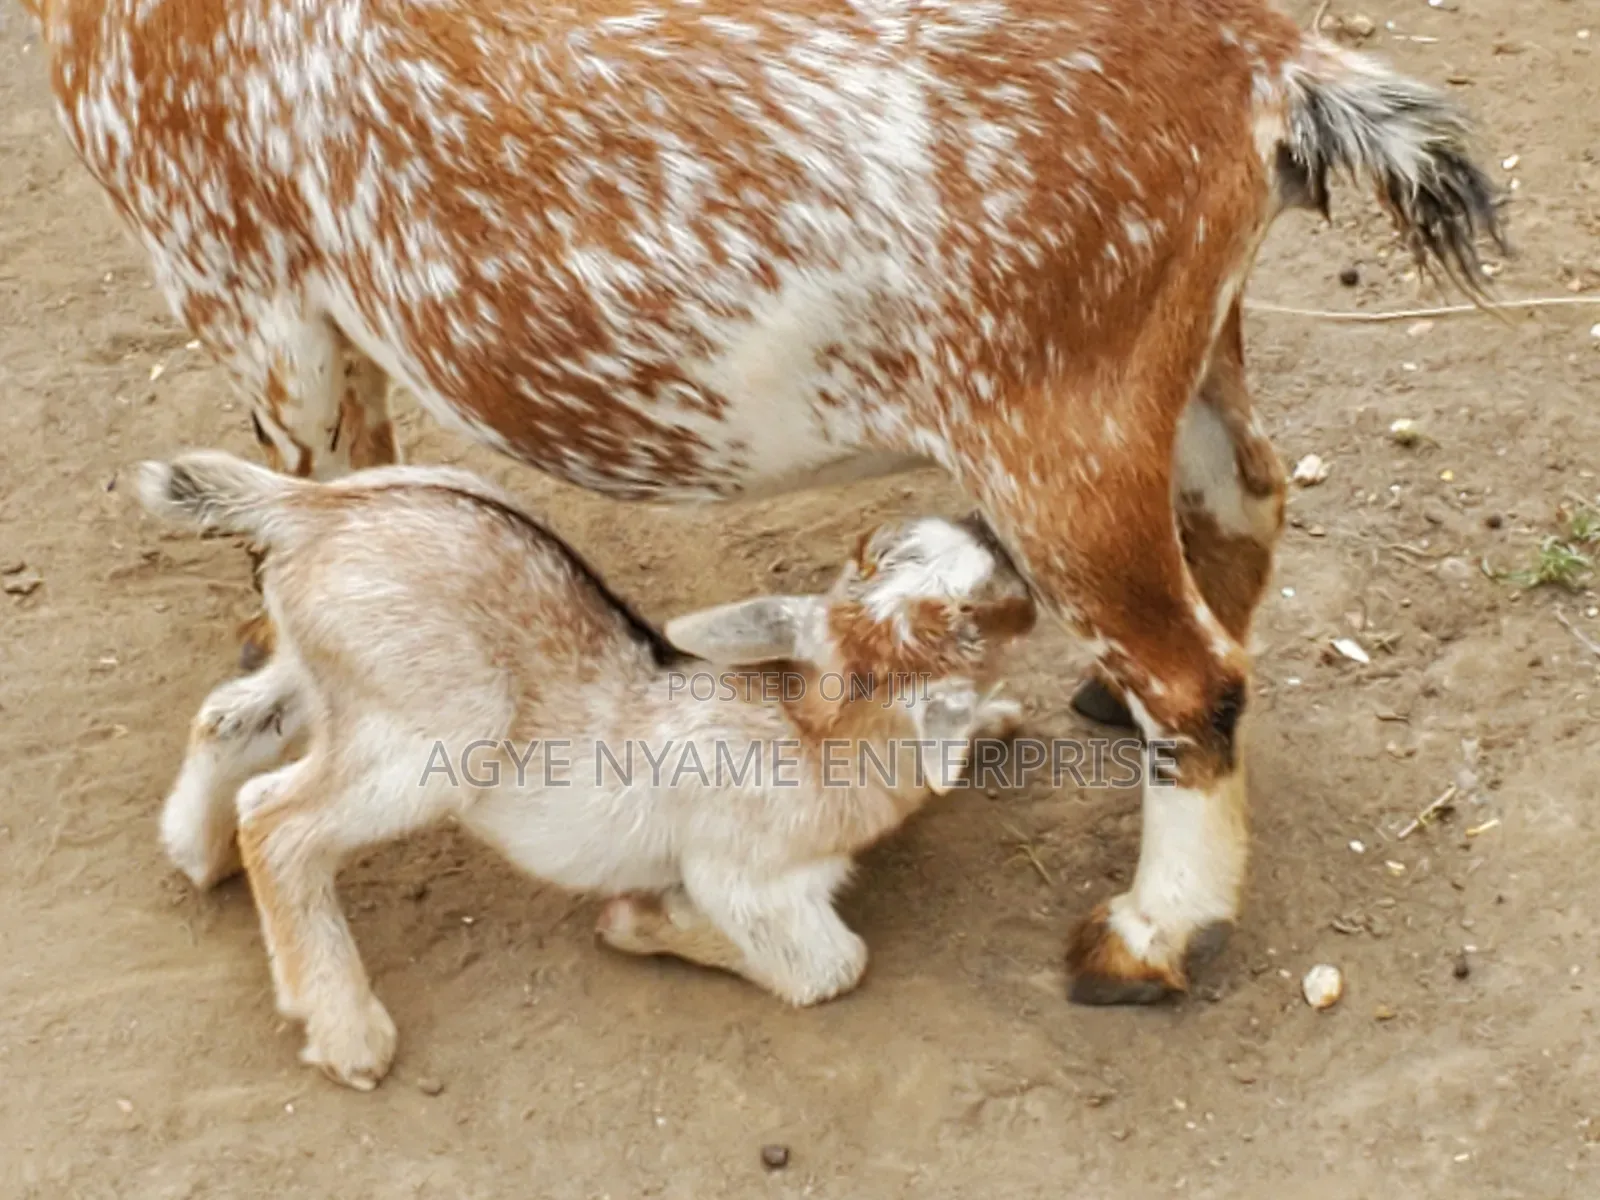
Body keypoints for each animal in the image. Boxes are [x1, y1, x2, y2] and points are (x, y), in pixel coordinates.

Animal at [28, 0, 1505, 1003]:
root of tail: (1267, 63)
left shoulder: (255, 299)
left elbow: (311, 507)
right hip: (1177, 359)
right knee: (1239, 510)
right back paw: (1104, 705)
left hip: (1049, 419)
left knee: (1189, 673)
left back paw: (1146, 941)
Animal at [138, 450, 1035, 1089]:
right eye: (974, 617)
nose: (992, 530)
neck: (813, 734)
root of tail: (314, 509)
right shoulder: (750, 882)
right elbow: (833, 967)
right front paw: (640, 921)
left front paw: (999, 720)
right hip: (440, 738)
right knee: (277, 819)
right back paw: (349, 1033)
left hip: (329, 674)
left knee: (229, 721)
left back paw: (195, 852)